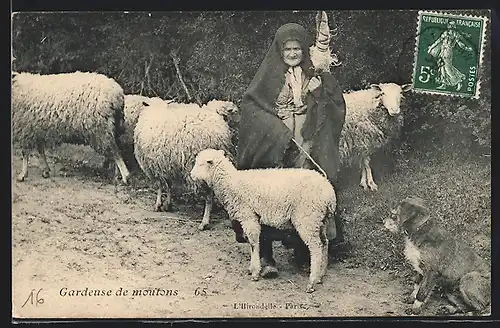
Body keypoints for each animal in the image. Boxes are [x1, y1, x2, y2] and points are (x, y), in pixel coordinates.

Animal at [133, 98, 238, 229]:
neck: (156, 109)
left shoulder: (152, 165)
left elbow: (159, 185)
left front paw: (158, 204)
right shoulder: (166, 163)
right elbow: (169, 185)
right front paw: (168, 204)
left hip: (197, 167)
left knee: (208, 195)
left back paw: (205, 221)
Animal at [189, 149, 338, 292]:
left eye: (201, 164)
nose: (191, 175)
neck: (230, 183)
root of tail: (329, 192)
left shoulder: (248, 216)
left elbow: (254, 243)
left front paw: (255, 272)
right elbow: (252, 243)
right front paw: (252, 268)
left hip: (307, 218)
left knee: (316, 247)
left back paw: (312, 282)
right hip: (320, 221)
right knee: (324, 243)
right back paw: (320, 275)